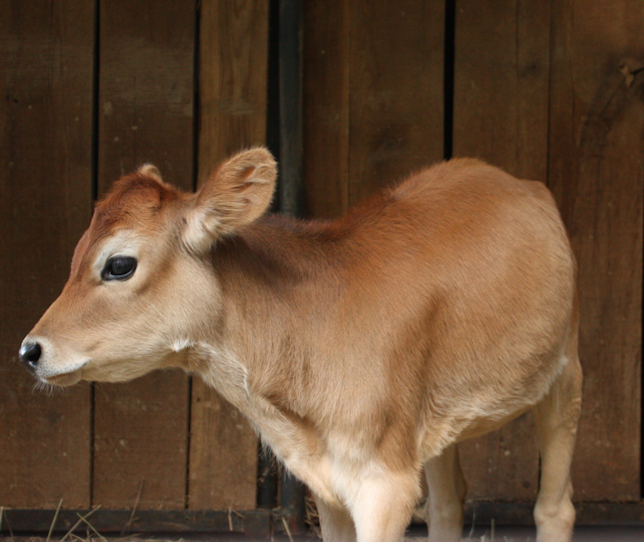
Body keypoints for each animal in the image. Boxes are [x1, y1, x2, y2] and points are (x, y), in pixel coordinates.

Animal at [20, 148, 582, 542]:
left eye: (119, 264)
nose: (30, 350)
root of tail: (509, 179)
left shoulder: (385, 483)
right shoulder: (328, 482)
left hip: (565, 371)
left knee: (555, 507)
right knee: (447, 504)